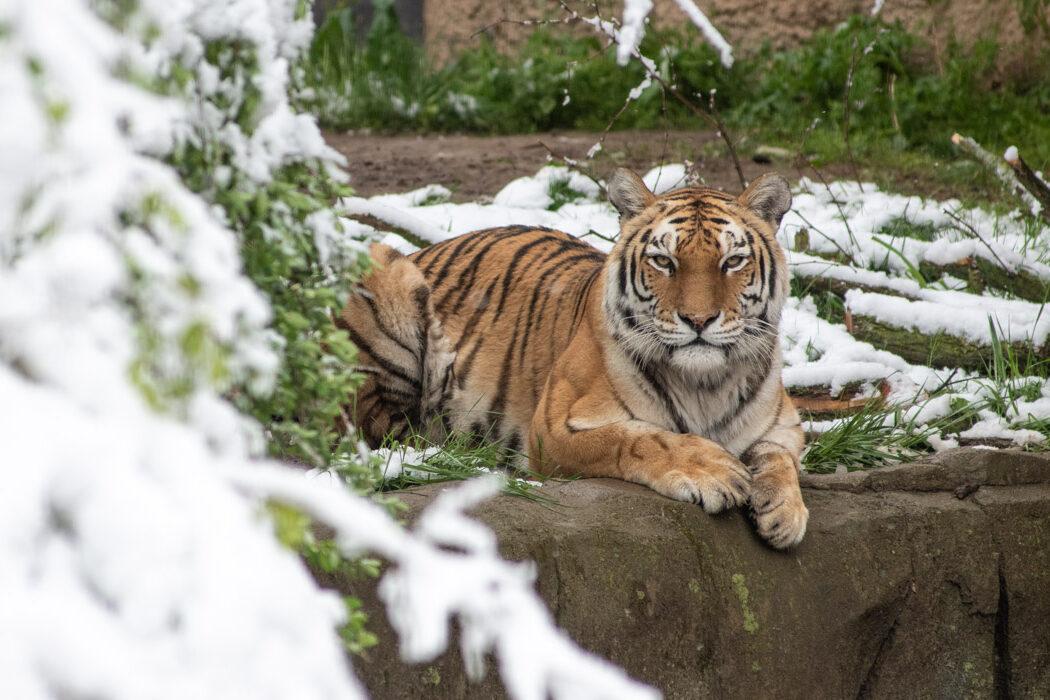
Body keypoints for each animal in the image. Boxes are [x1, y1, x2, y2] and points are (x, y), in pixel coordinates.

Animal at [340, 167, 806, 545]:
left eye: (733, 261)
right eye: (663, 261)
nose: (698, 319)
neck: (706, 382)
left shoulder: (784, 425)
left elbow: (780, 457)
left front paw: (786, 512)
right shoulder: (553, 428)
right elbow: (638, 438)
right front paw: (713, 469)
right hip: (383, 274)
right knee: (382, 432)